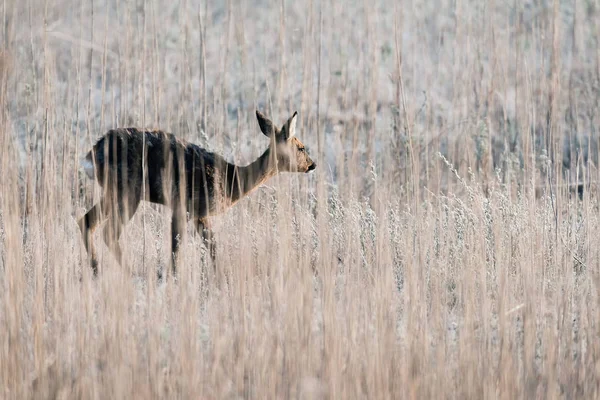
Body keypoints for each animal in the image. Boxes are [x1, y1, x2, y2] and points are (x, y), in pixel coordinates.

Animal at [77, 109, 316, 278]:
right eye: (301, 147)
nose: (312, 165)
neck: (232, 181)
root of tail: (92, 154)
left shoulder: (200, 214)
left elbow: (212, 247)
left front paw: (220, 276)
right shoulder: (184, 205)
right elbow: (177, 246)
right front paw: (172, 276)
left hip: (114, 192)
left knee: (86, 220)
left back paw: (97, 270)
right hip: (128, 191)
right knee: (108, 231)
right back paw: (128, 271)